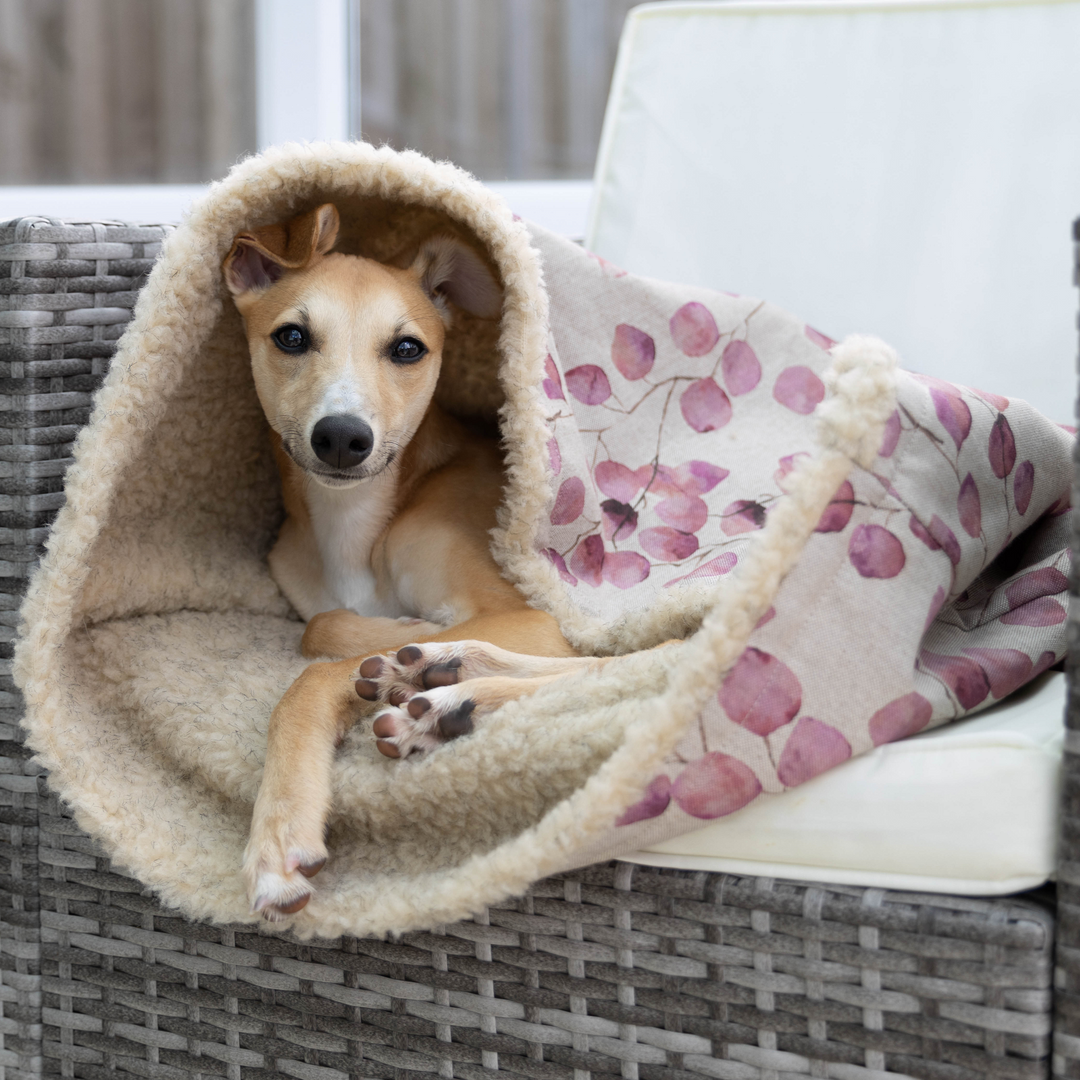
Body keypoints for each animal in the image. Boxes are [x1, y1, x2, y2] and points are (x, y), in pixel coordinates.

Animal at [223, 204, 604, 920]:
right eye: (291, 337)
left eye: (406, 348)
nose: (342, 437)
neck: (356, 525)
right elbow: (320, 625)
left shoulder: (535, 618)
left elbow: (314, 666)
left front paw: (278, 834)